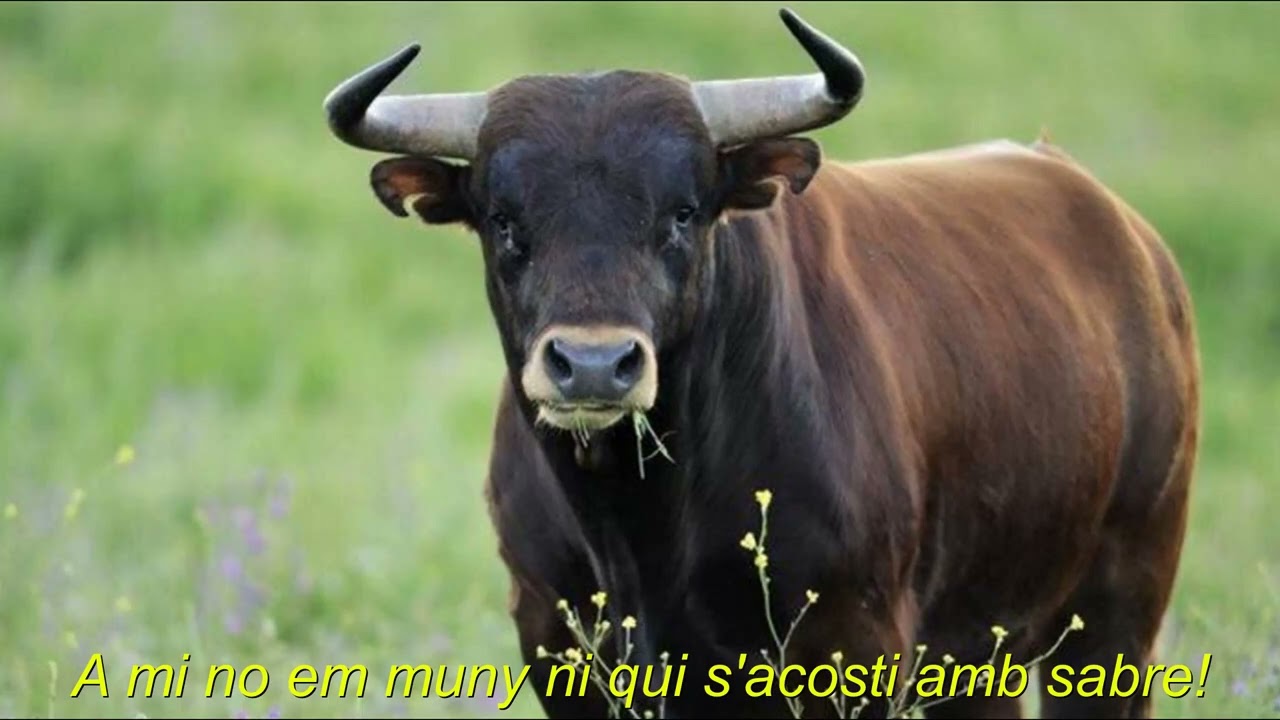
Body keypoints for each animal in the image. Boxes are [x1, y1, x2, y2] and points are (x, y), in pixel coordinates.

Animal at [322, 8, 1200, 719]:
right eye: (505, 220)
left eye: (682, 212)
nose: (595, 365)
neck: (642, 528)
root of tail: (1129, 237)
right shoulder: (558, 642)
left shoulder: (852, 650)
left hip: (1117, 617)